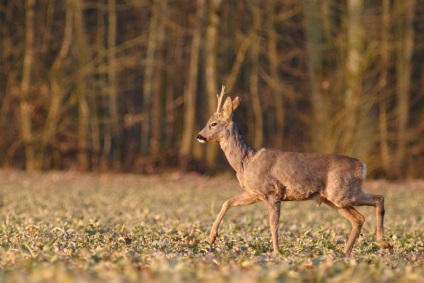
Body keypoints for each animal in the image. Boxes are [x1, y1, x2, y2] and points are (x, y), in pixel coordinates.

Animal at [195, 86, 390, 258]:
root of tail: (362, 166)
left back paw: (383, 243)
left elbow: (274, 224)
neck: (245, 162)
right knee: (358, 219)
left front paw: (276, 252)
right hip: (333, 200)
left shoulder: (272, 192)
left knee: (378, 198)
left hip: (342, 193)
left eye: (213, 123)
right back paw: (346, 253)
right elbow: (227, 202)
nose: (199, 136)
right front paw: (211, 238)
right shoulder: (254, 193)